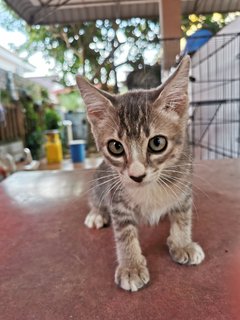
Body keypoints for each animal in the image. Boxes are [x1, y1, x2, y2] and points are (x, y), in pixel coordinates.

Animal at [76, 56, 204, 292]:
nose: (137, 175)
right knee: (95, 199)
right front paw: (131, 267)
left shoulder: (184, 184)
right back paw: (96, 213)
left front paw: (182, 243)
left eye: (157, 143)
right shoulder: (116, 198)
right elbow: (124, 233)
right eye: (115, 147)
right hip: (100, 180)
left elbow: (182, 216)